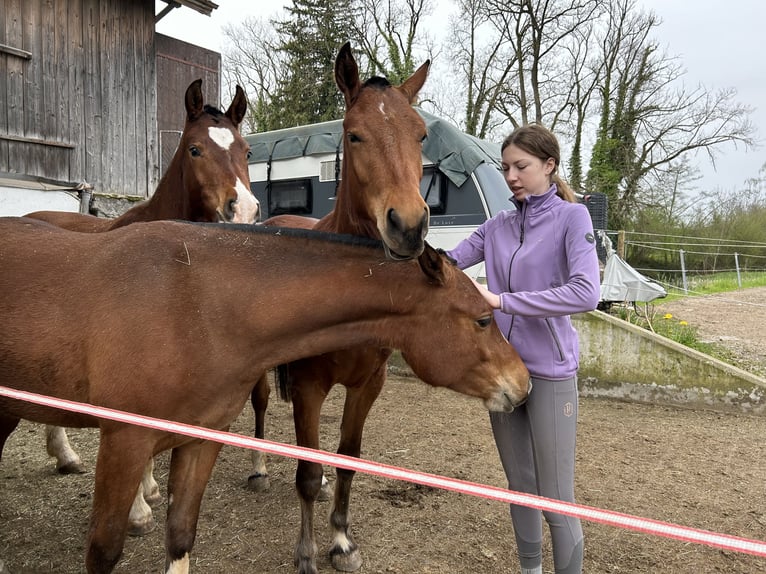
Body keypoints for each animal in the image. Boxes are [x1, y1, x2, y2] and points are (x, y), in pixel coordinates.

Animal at [0, 217, 532, 574]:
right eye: (482, 320)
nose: (523, 383)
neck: (194, 301)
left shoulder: (200, 440)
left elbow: (180, 535)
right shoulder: (125, 443)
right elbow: (104, 552)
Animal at [23, 79, 260, 536]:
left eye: (246, 151)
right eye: (195, 149)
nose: (242, 209)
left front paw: (148, 488)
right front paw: (136, 510)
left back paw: (66, 457)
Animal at [252, 41, 504, 574]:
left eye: (421, 135)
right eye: (354, 134)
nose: (408, 225)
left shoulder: (369, 383)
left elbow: (347, 455)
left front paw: (341, 541)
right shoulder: (308, 386)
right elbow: (305, 472)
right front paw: (306, 553)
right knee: (261, 403)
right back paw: (259, 467)